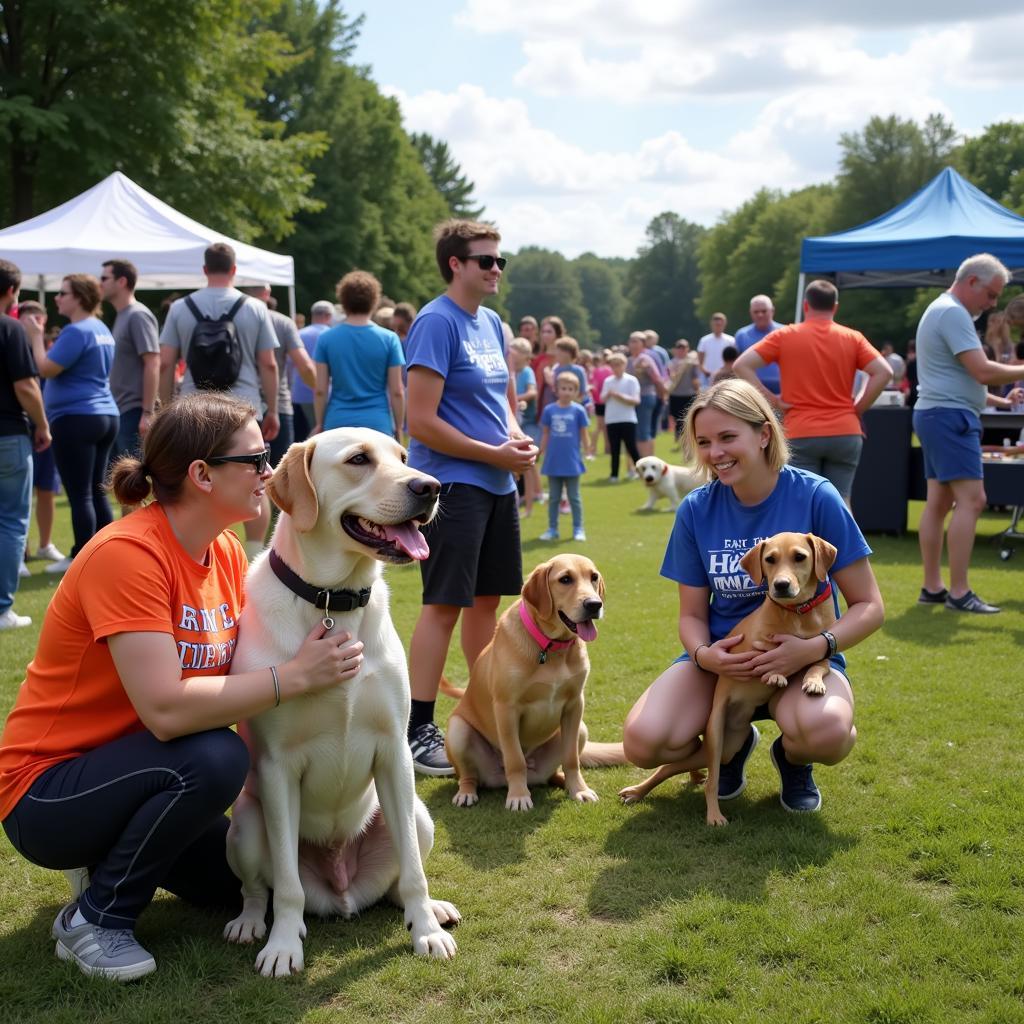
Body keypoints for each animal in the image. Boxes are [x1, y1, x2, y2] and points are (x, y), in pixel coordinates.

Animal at [229, 430, 464, 974]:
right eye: (358, 460)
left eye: (403, 458)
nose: (430, 486)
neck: (333, 601)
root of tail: (342, 891)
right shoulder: (276, 767)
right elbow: (287, 888)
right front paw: (284, 946)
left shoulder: (394, 751)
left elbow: (415, 873)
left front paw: (426, 932)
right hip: (245, 823)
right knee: (258, 889)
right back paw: (250, 924)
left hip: (419, 814)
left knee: (400, 880)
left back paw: (431, 911)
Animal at [446, 557, 622, 811]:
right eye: (565, 579)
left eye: (594, 577)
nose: (594, 604)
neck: (550, 647)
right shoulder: (506, 708)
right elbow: (515, 759)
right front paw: (519, 796)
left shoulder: (575, 705)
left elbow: (571, 759)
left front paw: (579, 790)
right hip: (457, 730)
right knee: (469, 776)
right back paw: (466, 793)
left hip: (581, 728)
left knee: (556, 771)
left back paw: (563, 781)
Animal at [618, 532, 835, 827]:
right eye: (770, 559)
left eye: (800, 557)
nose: (780, 585)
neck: (795, 613)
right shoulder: (753, 643)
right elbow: (767, 652)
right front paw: (775, 672)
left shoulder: (821, 646)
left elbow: (818, 661)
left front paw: (812, 680)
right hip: (714, 736)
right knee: (697, 778)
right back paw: (705, 811)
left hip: (726, 747)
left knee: (682, 767)